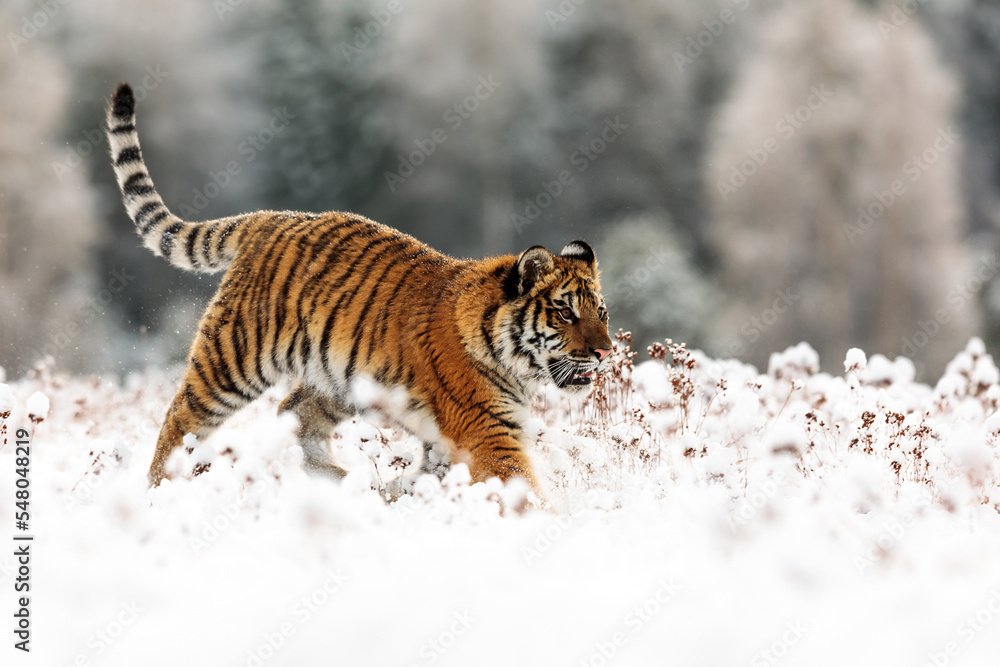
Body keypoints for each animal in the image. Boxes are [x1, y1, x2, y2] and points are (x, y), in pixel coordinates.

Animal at [105, 82, 613, 506]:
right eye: (566, 313)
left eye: (601, 313)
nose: (606, 353)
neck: (513, 361)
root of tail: (271, 217)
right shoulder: (488, 432)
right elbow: (524, 488)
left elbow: (436, 468)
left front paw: (410, 491)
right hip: (233, 360)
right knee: (180, 420)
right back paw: (157, 492)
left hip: (338, 377)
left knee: (293, 413)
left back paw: (351, 483)